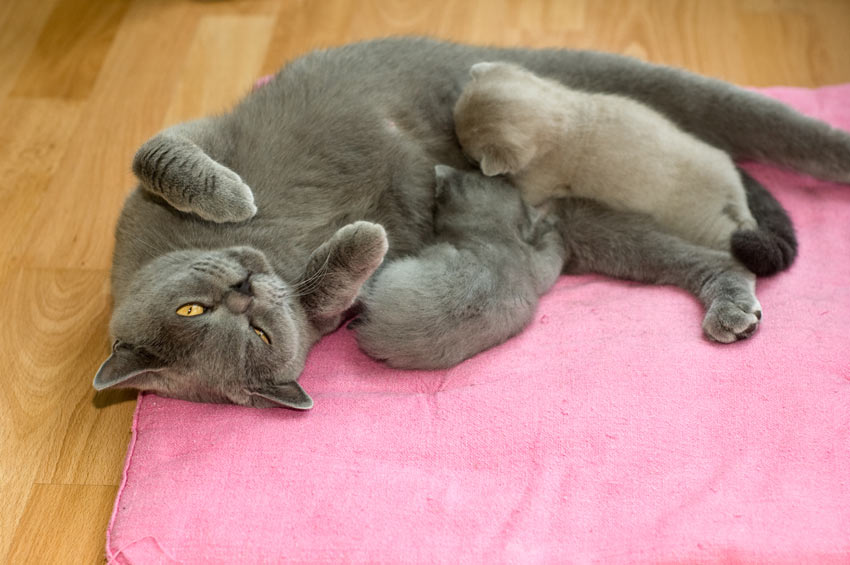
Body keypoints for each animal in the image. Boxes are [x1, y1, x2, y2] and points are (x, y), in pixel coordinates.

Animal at [454, 60, 792, 276]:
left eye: (469, 153)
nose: (459, 148)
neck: (557, 113)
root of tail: (728, 194)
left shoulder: (540, 179)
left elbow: (526, 192)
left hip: (700, 223)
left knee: (727, 233)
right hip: (719, 161)